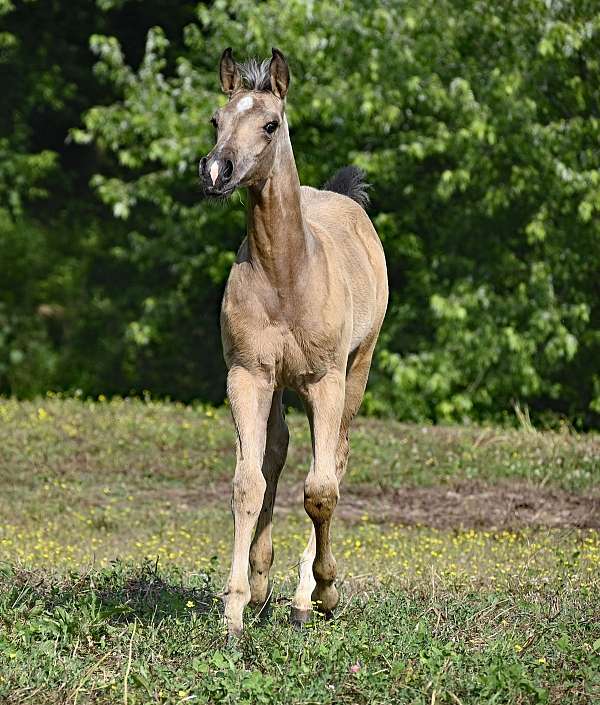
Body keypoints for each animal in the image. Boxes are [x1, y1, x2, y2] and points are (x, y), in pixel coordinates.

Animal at [200, 47, 388, 636]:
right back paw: (263, 586)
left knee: (337, 457)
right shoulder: (247, 376)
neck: (286, 273)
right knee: (277, 455)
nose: (216, 171)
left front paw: (323, 592)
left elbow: (321, 490)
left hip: (356, 369)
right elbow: (248, 482)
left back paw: (307, 596)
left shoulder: (325, 380)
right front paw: (236, 608)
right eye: (215, 120)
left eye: (270, 124)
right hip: (281, 385)